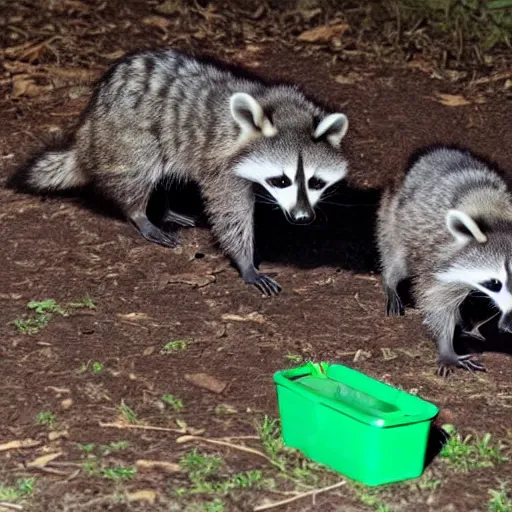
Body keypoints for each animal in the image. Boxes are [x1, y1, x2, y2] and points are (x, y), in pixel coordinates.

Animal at [8, 49, 350, 296]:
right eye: (281, 180)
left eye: (316, 182)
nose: (302, 218)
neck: (280, 108)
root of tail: (87, 131)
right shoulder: (222, 164)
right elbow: (230, 212)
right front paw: (245, 262)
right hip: (126, 134)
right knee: (142, 164)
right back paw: (141, 213)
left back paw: (164, 206)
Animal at [376, 145, 512, 376]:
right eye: (494, 283)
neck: (498, 220)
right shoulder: (442, 258)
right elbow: (437, 299)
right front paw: (446, 345)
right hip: (394, 217)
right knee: (397, 257)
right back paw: (390, 280)